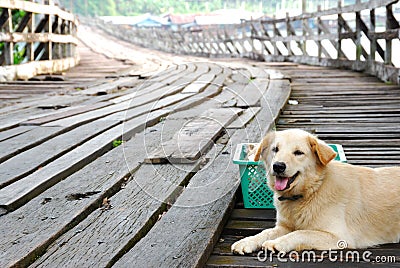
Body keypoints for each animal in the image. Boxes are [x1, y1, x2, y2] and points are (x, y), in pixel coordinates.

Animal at [231, 130, 400, 255]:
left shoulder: (339, 237)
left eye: (298, 152)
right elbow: (265, 232)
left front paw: (277, 243)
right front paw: (247, 241)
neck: (311, 191)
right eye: (275, 149)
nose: (278, 166)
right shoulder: (284, 226)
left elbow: (301, 233)